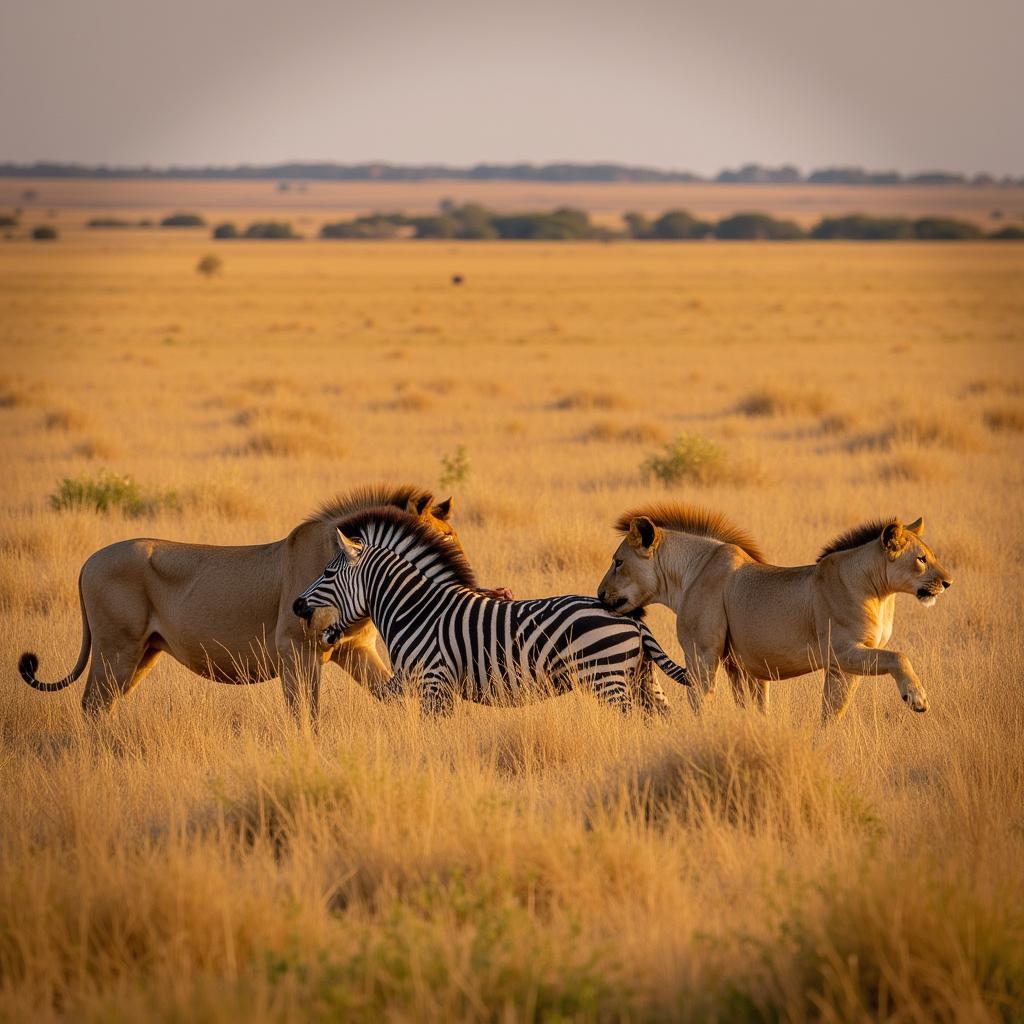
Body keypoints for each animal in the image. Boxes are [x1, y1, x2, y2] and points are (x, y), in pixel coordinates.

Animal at [19, 483, 462, 716]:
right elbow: (305, 711)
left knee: (102, 705)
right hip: (117, 649)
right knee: (92, 704)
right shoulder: (293, 648)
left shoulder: (353, 650)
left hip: (142, 653)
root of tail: (88, 561)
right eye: (442, 541)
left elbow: (393, 693)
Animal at [292, 507, 692, 716]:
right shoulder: (411, 680)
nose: (296, 605)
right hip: (641, 678)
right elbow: (387, 697)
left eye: (327, 574)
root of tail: (632, 618)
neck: (416, 609)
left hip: (606, 678)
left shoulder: (433, 682)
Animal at [598, 505, 954, 720]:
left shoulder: (843, 657)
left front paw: (917, 698)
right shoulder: (725, 659)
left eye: (617, 562)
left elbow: (840, 705)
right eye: (922, 559)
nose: (948, 582)